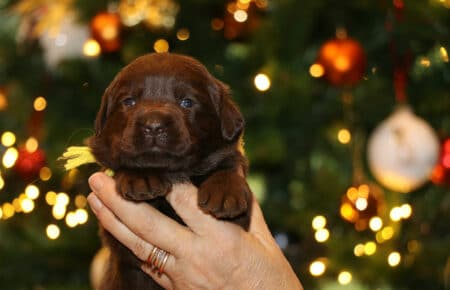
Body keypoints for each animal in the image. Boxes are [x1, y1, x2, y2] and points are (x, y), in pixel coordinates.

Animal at [87, 52, 250, 290]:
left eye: (187, 102)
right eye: (129, 101)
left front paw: (226, 192)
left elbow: (228, 164)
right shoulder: (115, 236)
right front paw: (142, 177)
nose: (154, 125)